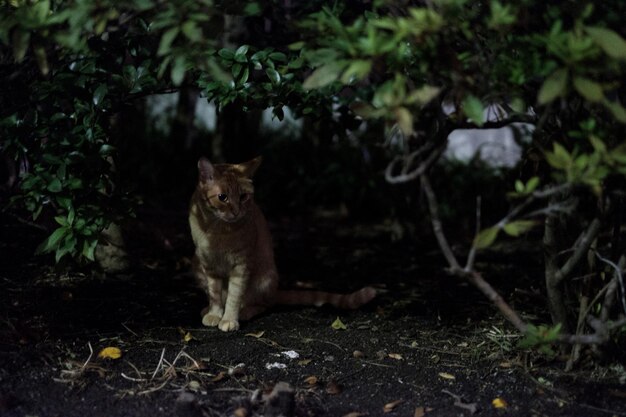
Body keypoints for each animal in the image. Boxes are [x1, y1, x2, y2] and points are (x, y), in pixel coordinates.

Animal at [189, 156, 376, 332]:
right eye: (222, 197)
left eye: (243, 197)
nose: (236, 211)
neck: (218, 231)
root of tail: (275, 291)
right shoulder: (208, 264)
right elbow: (215, 293)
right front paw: (214, 313)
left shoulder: (241, 265)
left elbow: (234, 296)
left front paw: (229, 318)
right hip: (197, 267)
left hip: (264, 279)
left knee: (263, 304)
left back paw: (245, 311)